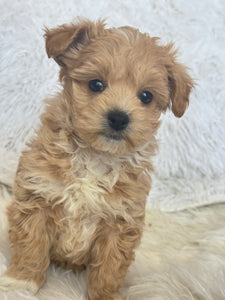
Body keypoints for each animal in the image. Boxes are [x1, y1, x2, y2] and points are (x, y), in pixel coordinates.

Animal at [0, 19, 193, 300]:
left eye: (146, 96)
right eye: (96, 85)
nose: (119, 117)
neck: (94, 156)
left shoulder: (121, 221)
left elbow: (110, 265)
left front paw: (104, 294)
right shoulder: (37, 199)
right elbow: (31, 245)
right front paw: (21, 282)